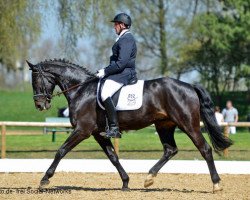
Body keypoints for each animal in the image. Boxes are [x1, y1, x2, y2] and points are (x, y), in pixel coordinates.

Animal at [26, 59, 231, 192]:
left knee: (204, 149)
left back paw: (216, 184)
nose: (40, 105)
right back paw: (149, 178)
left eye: (35, 80)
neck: (82, 89)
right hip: (164, 125)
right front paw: (125, 182)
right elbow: (113, 157)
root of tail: (189, 86)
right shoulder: (98, 134)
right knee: (170, 150)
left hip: (188, 123)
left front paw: (45, 179)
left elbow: (61, 151)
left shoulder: (82, 130)